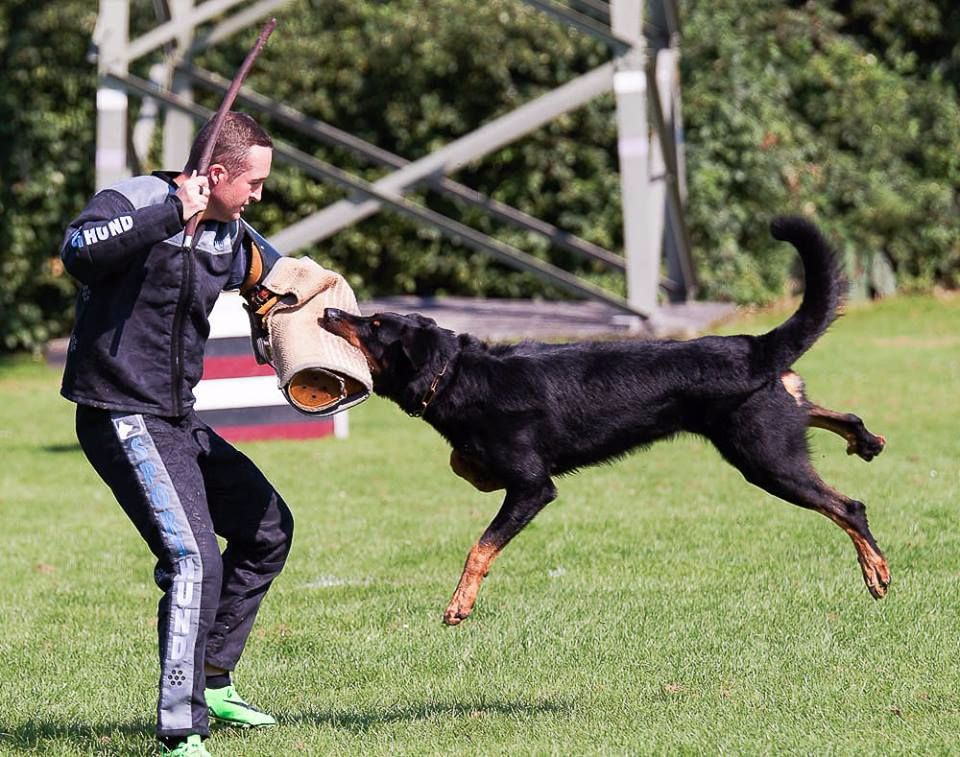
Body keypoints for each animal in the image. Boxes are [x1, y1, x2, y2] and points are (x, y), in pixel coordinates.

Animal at [324, 216, 892, 624]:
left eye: (374, 325)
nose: (330, 313)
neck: (460, 373)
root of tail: (754, 347)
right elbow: (462, 465)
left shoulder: (533, 487)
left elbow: (479, 547)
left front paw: (459, 605)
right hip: (771, 430)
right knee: (819, 408)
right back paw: (863, 439)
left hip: (765, 457)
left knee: (849, 506)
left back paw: (877, 571)